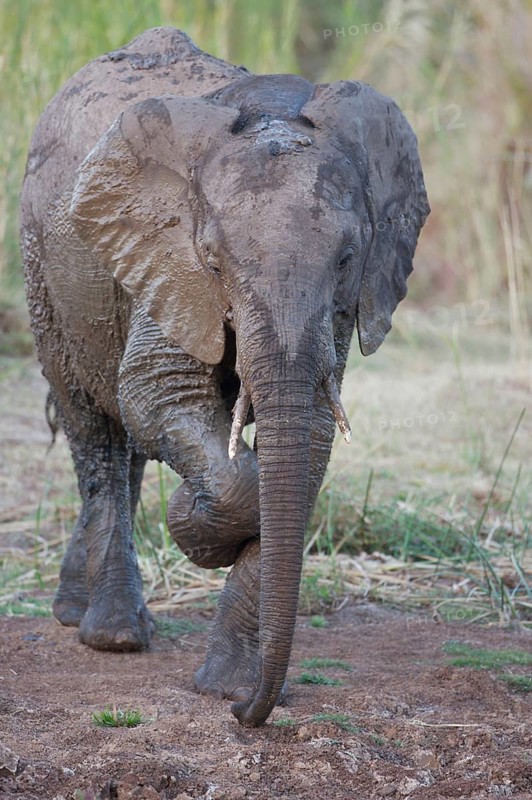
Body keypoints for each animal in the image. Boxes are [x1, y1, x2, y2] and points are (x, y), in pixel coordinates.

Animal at [20, 27, 430, 727]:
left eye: (348, 259)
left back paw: (81, 613)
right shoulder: (164, 256)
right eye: (213, 261)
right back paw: (113, 634)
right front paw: (195, 522)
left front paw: (226, 687)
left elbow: (308, 436)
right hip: (43, 273)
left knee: (125, 451)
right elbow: (156, 393)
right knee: (95, 433)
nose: (246, 713)